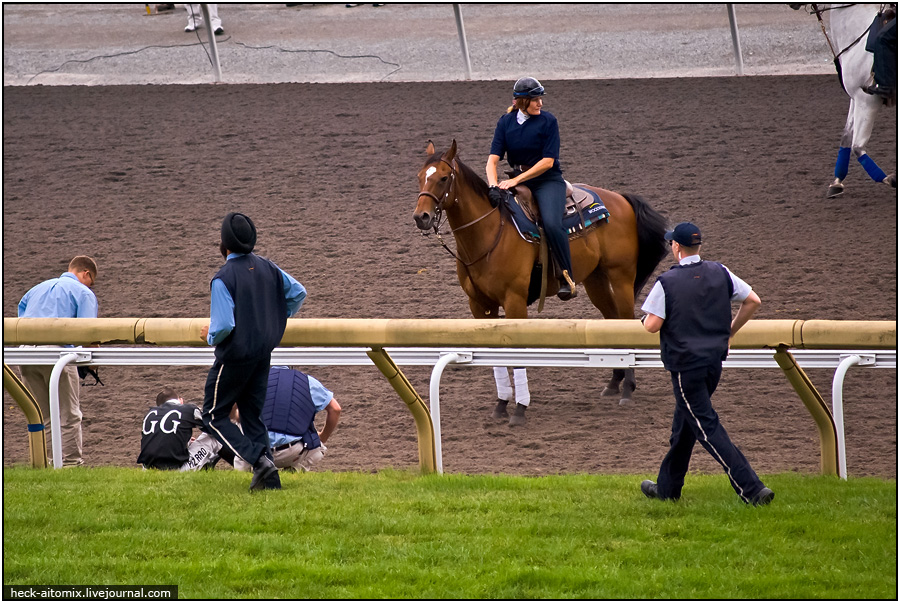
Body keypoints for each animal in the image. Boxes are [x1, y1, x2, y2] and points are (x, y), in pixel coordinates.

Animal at [414, 140, 668, 424]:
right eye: (420, 177)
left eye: (443, 178)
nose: (421, 217)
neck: (489, 233)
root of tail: (621, 198)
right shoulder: (479, 306)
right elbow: (494, 357)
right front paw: (501, 404)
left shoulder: (514, 302)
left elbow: (516, 355)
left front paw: (519, 409)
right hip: (596, 280)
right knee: (612, 323)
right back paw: (614, 383)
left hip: (621, 276)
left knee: (625, 322)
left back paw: (627, 389)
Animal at [800, 4, 896, 198]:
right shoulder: (855, 99)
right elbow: (846, 138)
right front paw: (837, 182)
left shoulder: (867, 101)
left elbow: (857, 146)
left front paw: (890, 179)